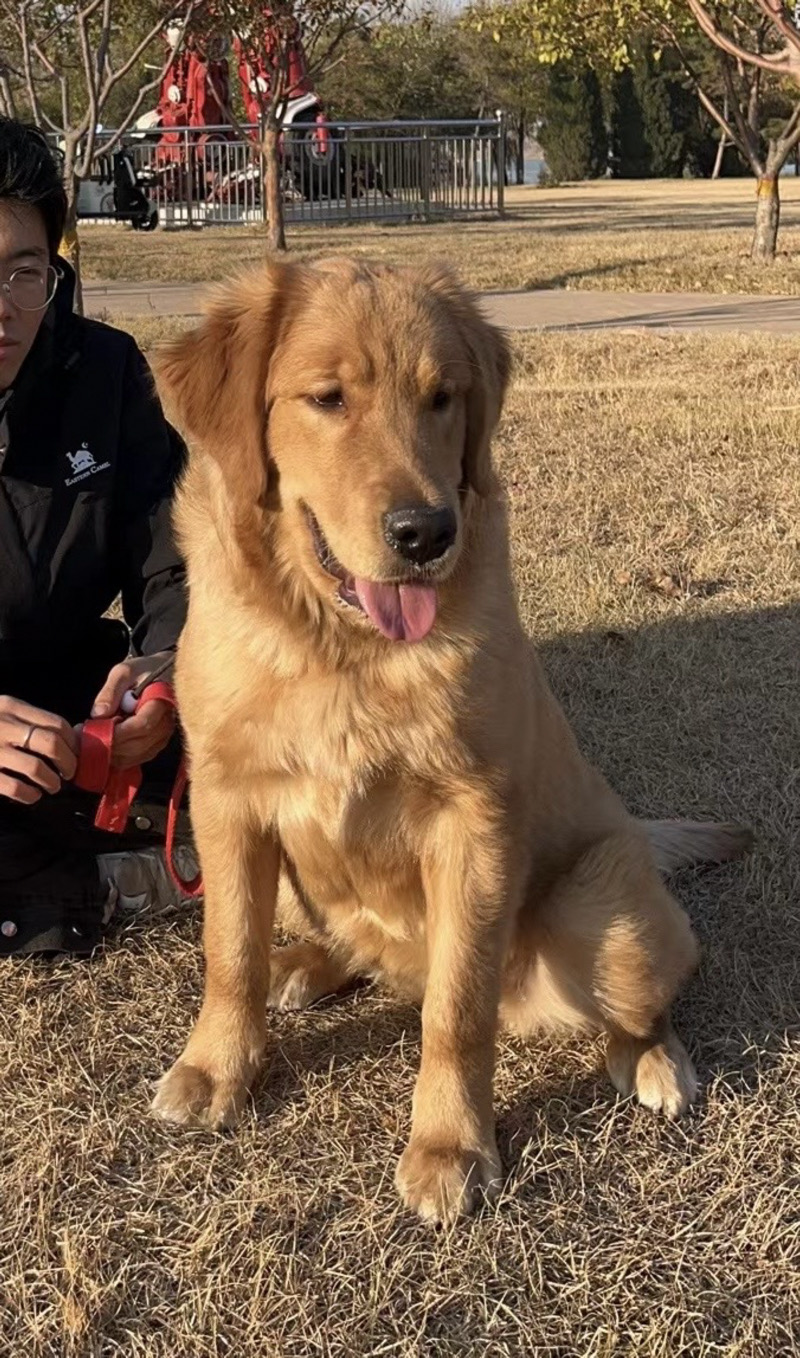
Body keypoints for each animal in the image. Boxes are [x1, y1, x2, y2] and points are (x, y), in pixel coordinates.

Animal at [148, 255, 749, 1222]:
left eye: (443, 398)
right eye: (327, 398)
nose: (427, 533)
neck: (341, 650)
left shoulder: (474, 824)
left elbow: (456, 1011)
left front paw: (449, 1145)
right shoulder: (226, 800)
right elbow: (228, 953)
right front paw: (215, 1070)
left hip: (604, 912)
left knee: (642, 998)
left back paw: (655, 1061)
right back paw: (308, 963)